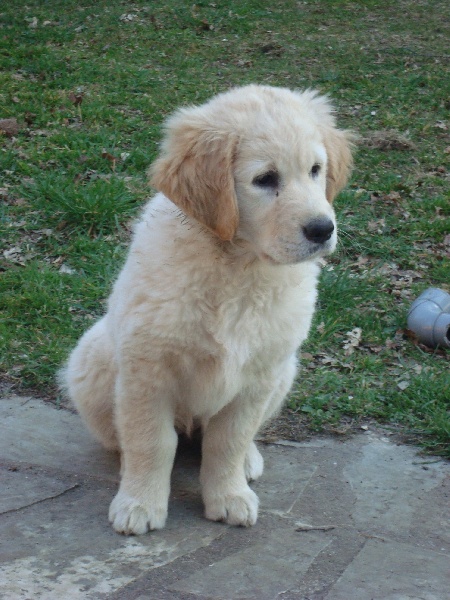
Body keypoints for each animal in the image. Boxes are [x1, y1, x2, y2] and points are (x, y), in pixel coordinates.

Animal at [61, 84, 354, 536]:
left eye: (315, 170)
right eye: (265, 179)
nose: (323, 230)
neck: (238, 267)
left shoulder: (259, 374)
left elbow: (228, 441)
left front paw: (229, 496)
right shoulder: (148, 368)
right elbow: (150, 440)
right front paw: (139, 503)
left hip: (285, 372)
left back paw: (249, 462)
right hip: (93, 360)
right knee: (124, 436)